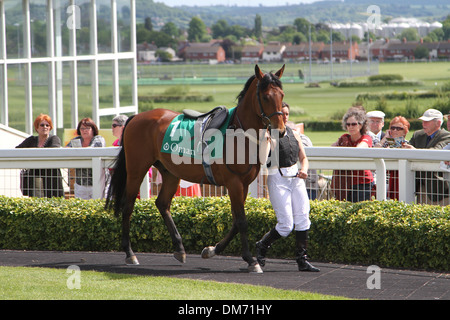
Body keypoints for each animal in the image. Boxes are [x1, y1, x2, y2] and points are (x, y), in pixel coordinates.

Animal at [105, 64, 284, 272]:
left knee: (162, 204)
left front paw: (212, 249)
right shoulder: (234, 183)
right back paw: (130, 253)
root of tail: (135, 118)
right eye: (266, 96)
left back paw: (179, 248)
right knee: (128, 205)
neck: (239, 133)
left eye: (282, 95)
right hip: (136, 169)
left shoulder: (244, 184)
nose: (281, 130)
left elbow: (235, 221)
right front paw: (250, 259)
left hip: (170, 172)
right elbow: (241, 221)